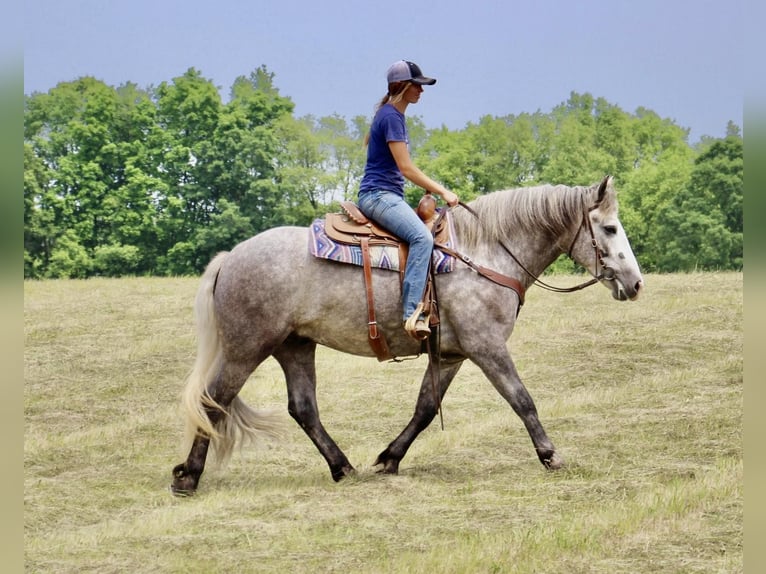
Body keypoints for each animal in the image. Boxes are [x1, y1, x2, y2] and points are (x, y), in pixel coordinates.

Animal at [171, 174, 644, 496]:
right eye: (610, 228)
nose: (636, 283)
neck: (486, 252)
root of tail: (231, 257)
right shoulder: (487, 347)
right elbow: (521, 399)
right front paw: (550, 454)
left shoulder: (450, 355)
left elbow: (425, 407)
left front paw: (389, 458)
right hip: (246, 349)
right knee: (213, 402)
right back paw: (188, 477)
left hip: (295, 347)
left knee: (303, 409)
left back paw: (343, 467)